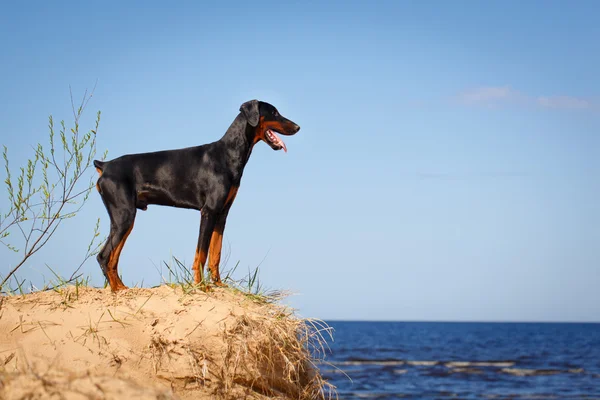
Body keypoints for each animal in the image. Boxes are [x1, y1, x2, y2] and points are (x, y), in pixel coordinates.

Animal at [94, 99, 300, 290]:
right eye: (274, 112)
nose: (298, 127)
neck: (228, 153)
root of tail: (105, 166)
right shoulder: (208, 211)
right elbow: (201, 254)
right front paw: (201, 286)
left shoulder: (221, 214)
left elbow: (215, 253)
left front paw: (218, 284)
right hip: (124, 215)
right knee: (103, 256)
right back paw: (116, 290)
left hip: (124, 220)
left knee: (112, 258)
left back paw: (122, 289)